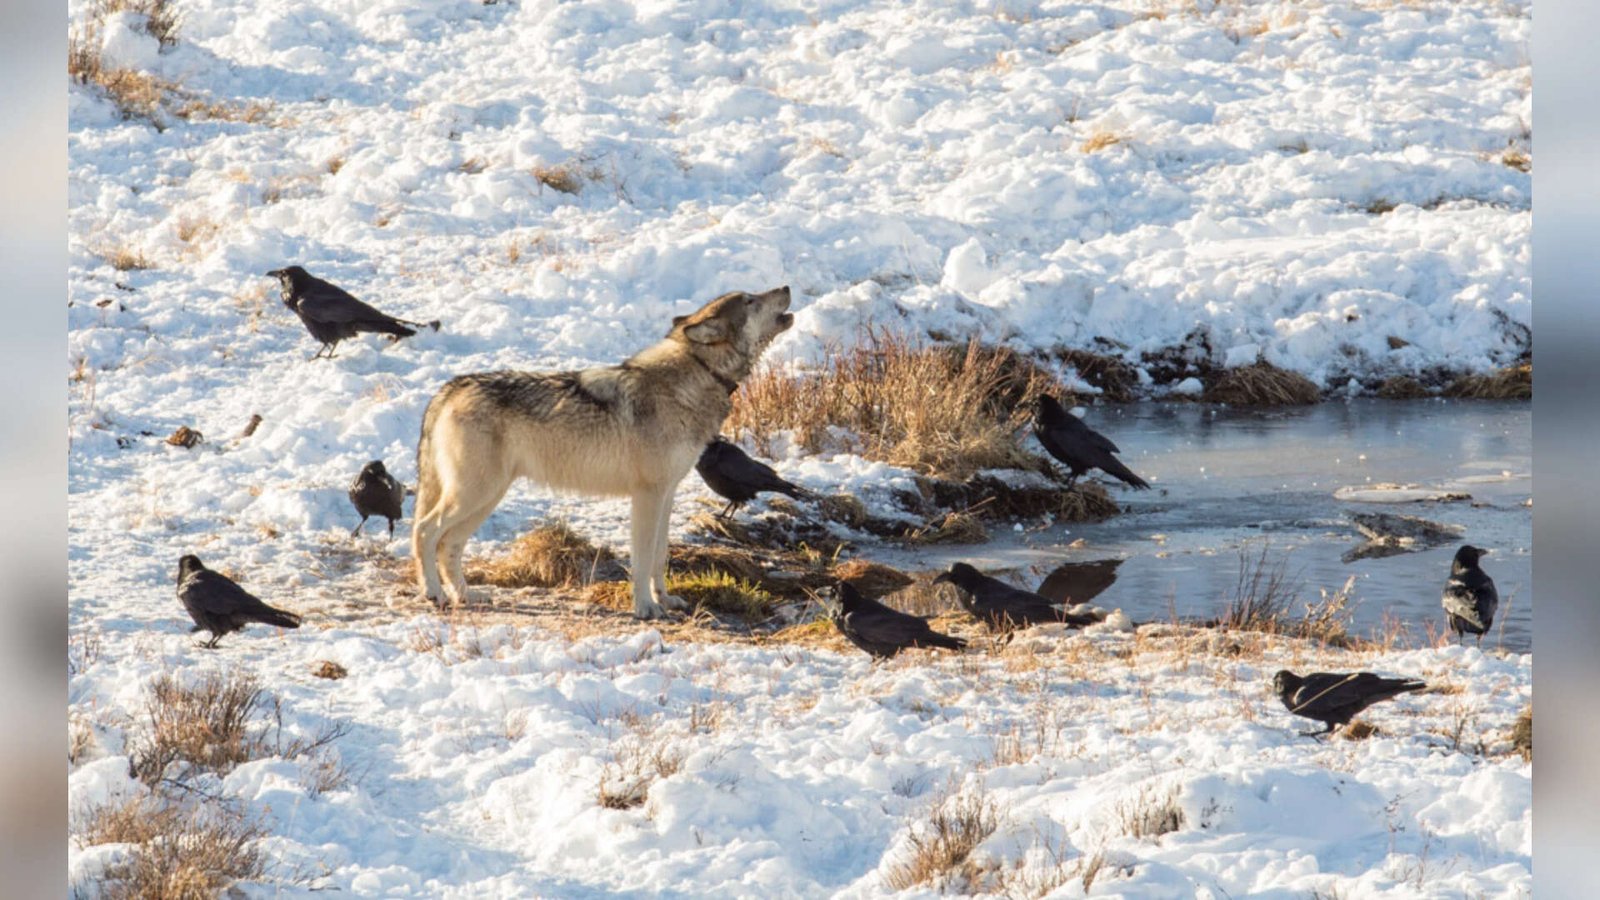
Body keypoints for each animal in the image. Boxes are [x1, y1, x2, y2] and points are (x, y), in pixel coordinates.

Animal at [411, 286, 793, 618]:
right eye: (750, 300)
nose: (787, 287)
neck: (696, 376)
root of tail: (450, 388)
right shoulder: (647, 495)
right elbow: (642, 559)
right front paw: (645, 609)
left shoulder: (667, 494)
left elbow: (660, 556)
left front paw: (665, 599)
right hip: (474, 495)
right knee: (425, 532)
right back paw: (434, 594)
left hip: (486, 498)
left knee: (449, 545)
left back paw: (465, 595)